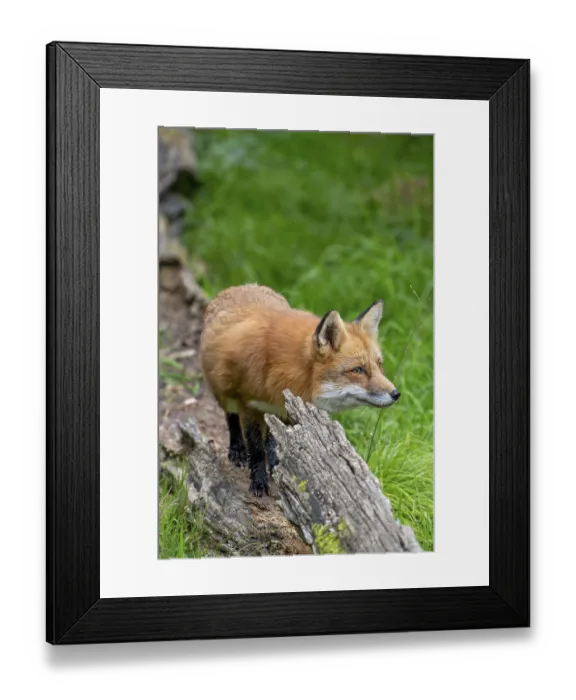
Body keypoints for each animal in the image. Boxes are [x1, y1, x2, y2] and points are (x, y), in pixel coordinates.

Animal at [199, 283, 401, 497]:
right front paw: (259, 481)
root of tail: (240, 286)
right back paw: (237, 450)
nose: (396, 394)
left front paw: (278, 468)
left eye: (379, 365)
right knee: (231, 418)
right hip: (224, 393)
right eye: (358, 370)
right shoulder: (248, 404)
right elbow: (256, 450)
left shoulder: (285, 409)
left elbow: (275, 443)